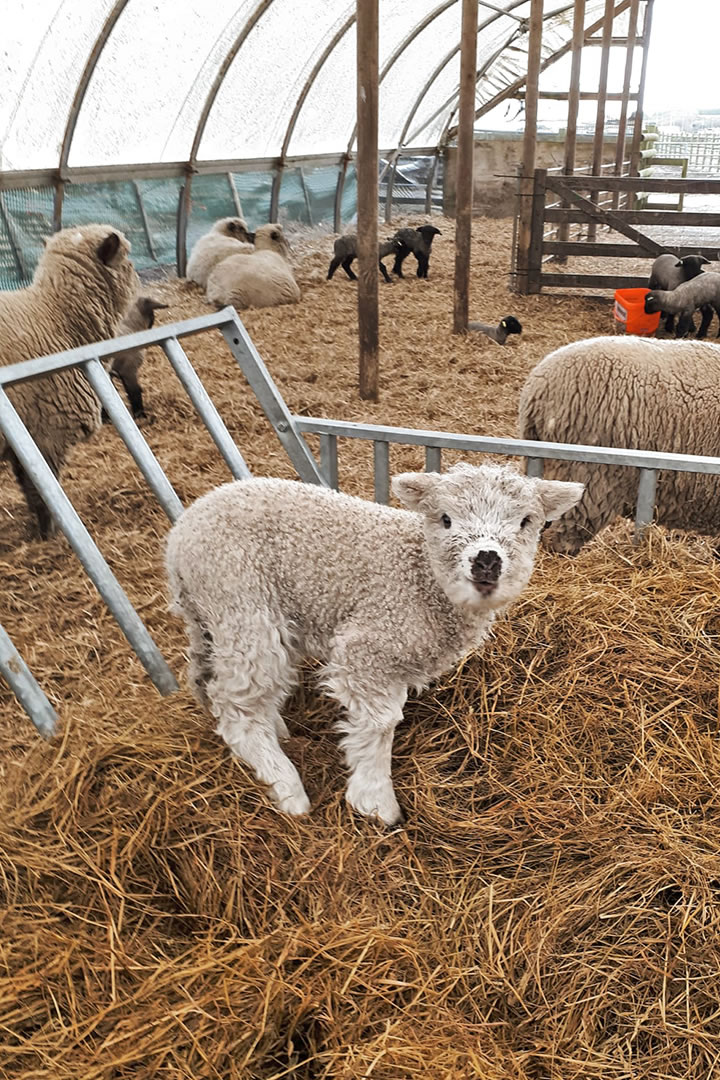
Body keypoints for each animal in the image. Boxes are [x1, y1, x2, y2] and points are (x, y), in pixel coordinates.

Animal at [1, 222, 138, 535]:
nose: (138, 277)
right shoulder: (47, 433)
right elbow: (43, 491)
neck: (57, 317)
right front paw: (51, 534)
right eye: (127, 257)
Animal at [166, 464, 582, 825]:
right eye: (445, 519)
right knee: (236, 706)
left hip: (222, 617)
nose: (486, 561)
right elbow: (380, 724)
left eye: (526, 521)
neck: (421, 577)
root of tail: (179, 535)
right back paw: (287, 787)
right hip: (242, 602)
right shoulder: (369, 647)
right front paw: (376, 801)